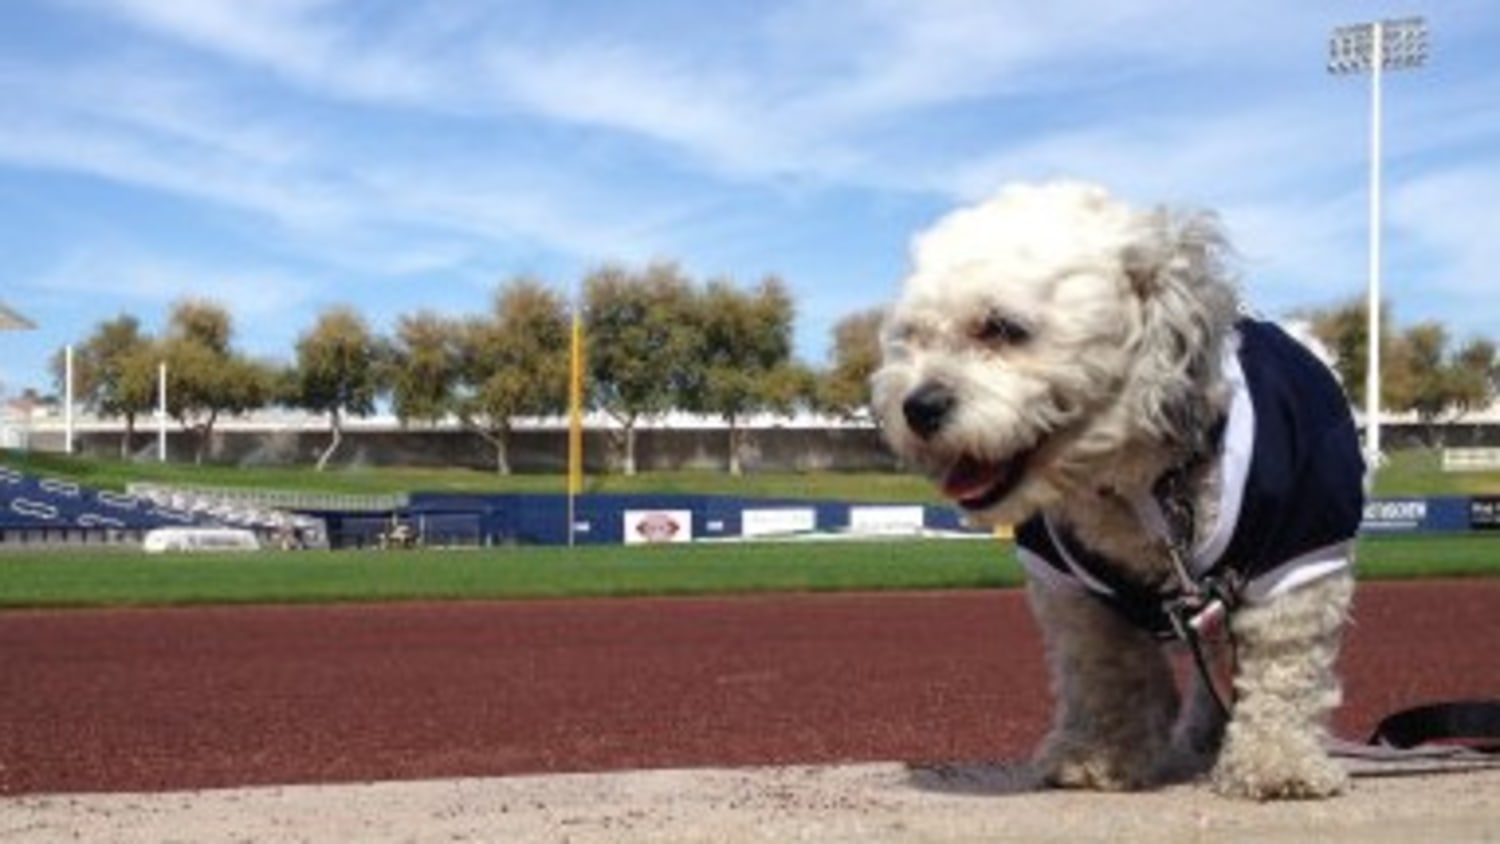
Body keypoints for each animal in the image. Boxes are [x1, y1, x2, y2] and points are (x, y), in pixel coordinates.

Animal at [870, 181, 1374, 803]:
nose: (918, 406)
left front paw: (1277, 762)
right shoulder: (1072, 587)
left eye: (1003, 327)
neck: (1138, 484)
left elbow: (1284, 669)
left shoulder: (1300, 556)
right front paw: (1100, 756)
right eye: (911, 338)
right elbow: (1108, 675)